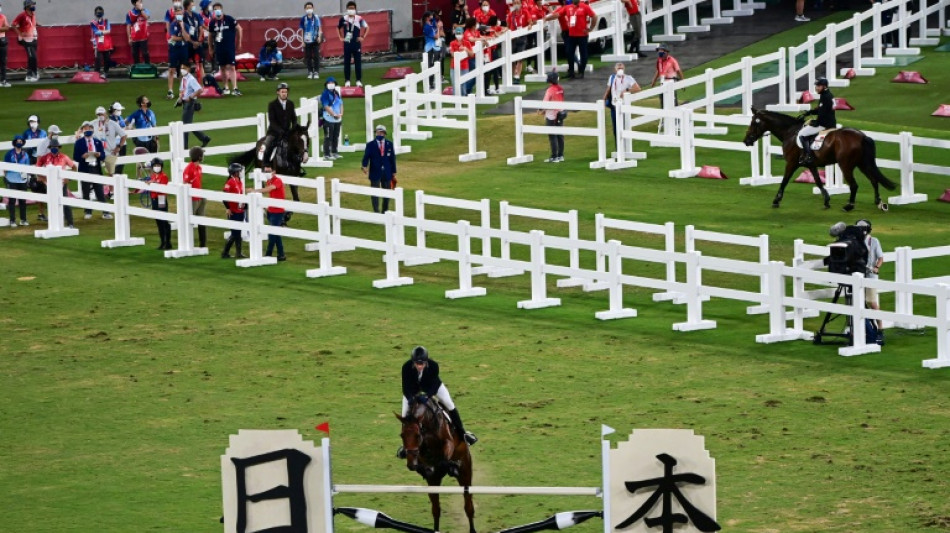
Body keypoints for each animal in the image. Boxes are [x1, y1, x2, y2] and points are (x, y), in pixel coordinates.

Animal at [394, 392, 476, 532]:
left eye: (417, 435)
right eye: (402, 435)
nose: (411, 465)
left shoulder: (448, 442)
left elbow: (445, 455)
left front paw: (451, 466)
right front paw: (425, 468)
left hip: (465, 473)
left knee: (468, 506)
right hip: (433, 482)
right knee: (436, 509)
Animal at [748, 106, 896, 210]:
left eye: (754, 123)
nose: (746, 140)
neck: (790, 132)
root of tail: (862, 136)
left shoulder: (791, 163)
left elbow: (784, 181)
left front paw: (776, 201)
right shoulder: (811, 165)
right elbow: (818, 182)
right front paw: (826, 200)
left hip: (846, 165)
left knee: (854, 185)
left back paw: (849, 206)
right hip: (862, 164)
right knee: (873, 180)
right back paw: (878, 202)